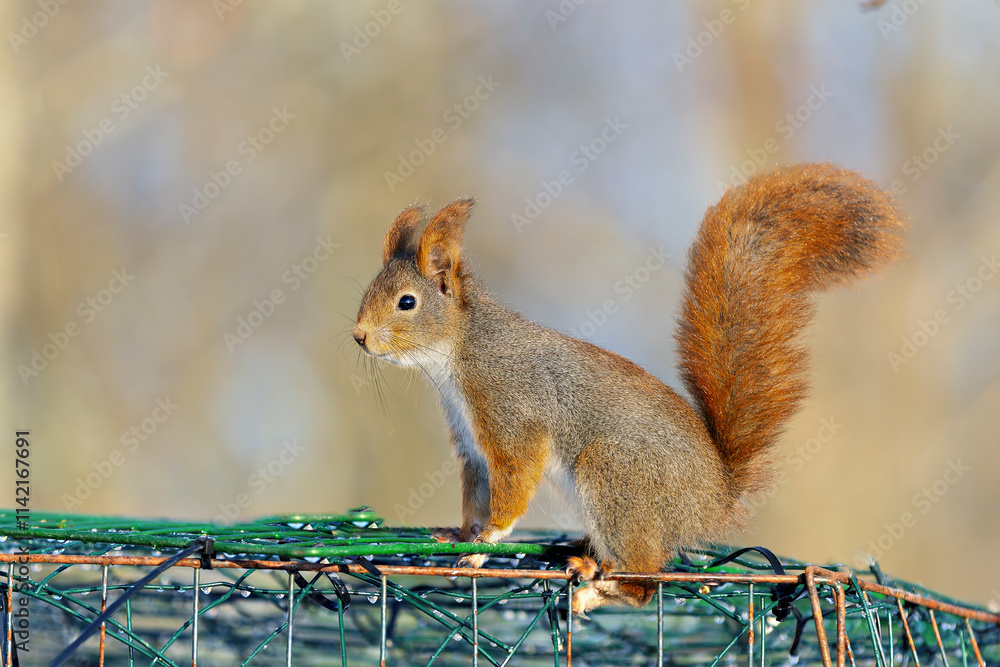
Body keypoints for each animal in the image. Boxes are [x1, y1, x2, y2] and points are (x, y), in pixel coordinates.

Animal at [352, 162, 906, 615]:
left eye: (406, 302)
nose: (358, 336)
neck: (459, 354)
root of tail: (713, 502)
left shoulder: (512, 413)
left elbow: (513, 483)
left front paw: (486, 540)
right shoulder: (472, 445)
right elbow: (477, 490)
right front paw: (461, 533)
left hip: (616, 476)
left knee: (645, 585)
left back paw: (601, 591)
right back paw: (589, 565)